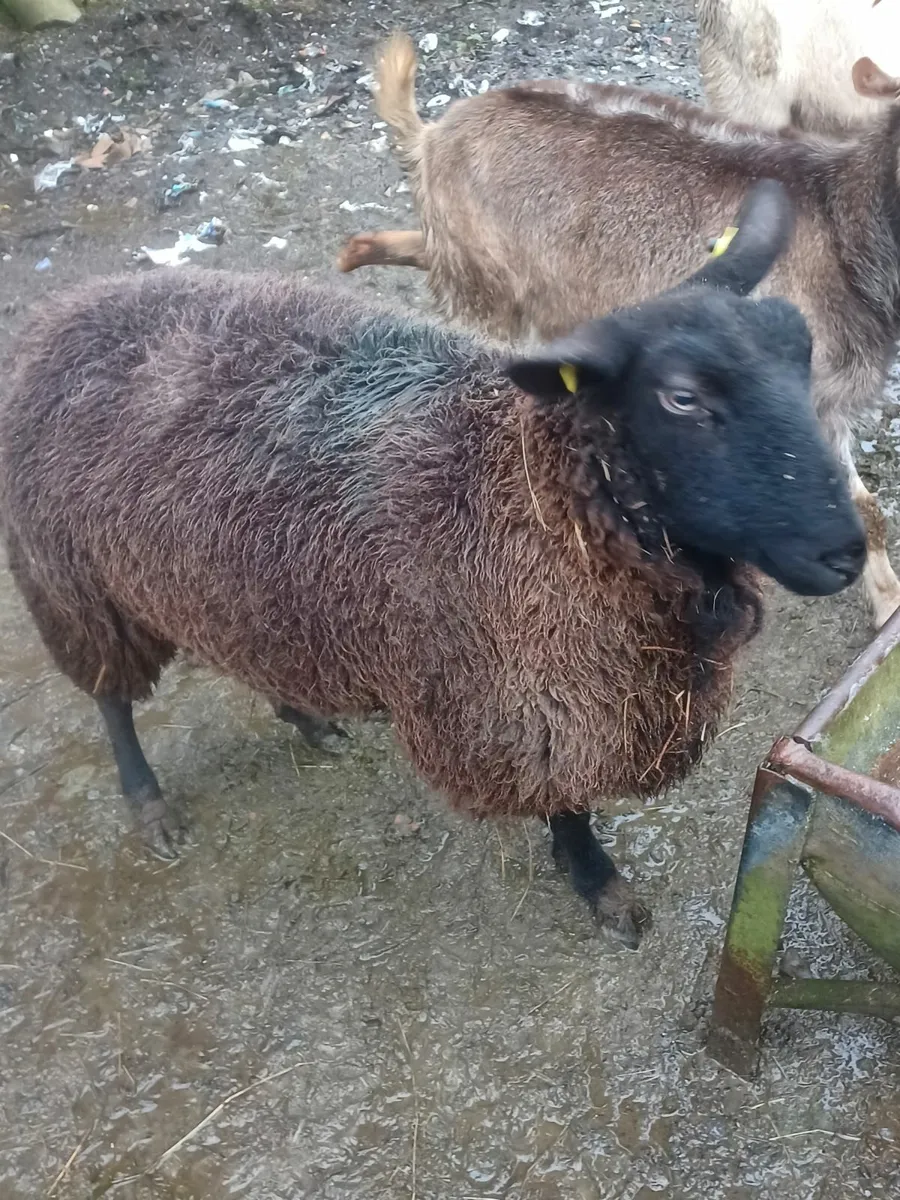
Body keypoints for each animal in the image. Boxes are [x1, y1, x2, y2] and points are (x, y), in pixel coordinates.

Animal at [0, 181, 866, 945]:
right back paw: (148, 803)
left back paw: (306, 718)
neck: (532, 494)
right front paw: (597, 883)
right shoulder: (523, 706)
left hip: (228, 580)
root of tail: (64, 312)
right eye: (682, 397)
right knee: (110, 699)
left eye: (799, 352)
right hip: (73, 580)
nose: (847, 554)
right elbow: (567, 803)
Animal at [337, 33, 900, 629]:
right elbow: (862, 508)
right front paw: (888, 604)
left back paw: (354, 253)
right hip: (484, 293)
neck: (842, 232)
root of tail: (434, 136)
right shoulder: (809, 400)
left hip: (457, 255)